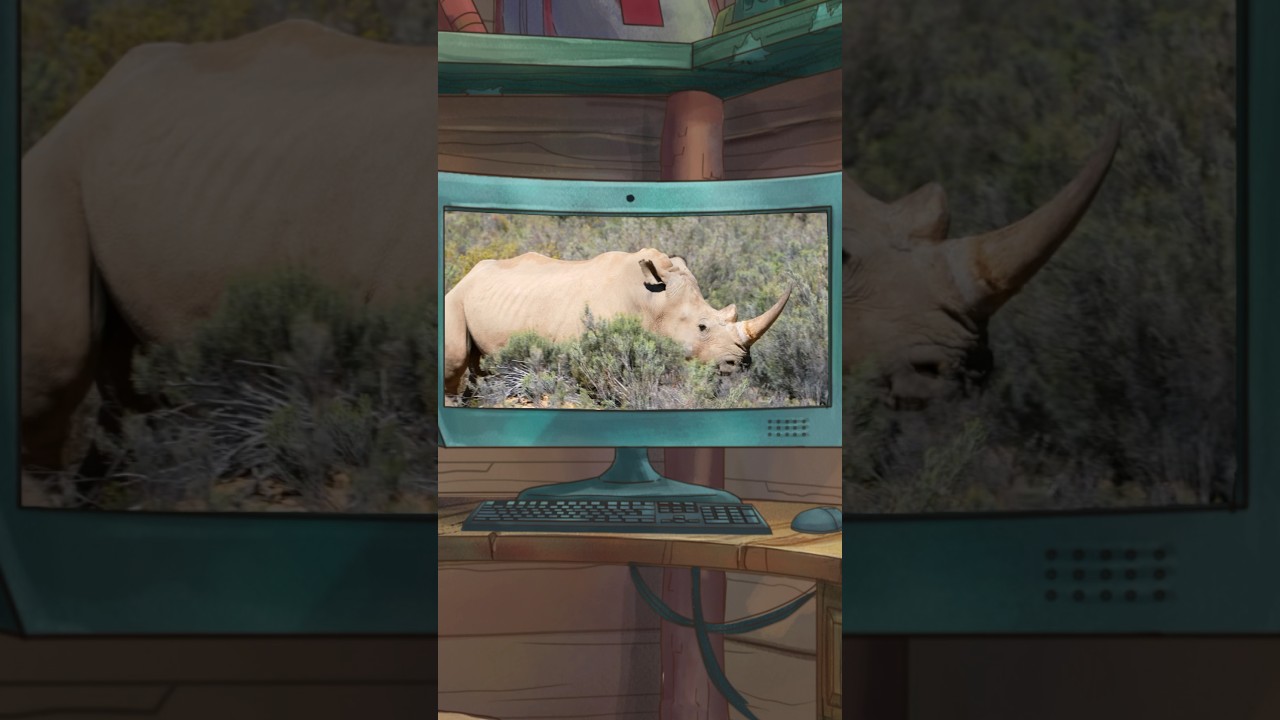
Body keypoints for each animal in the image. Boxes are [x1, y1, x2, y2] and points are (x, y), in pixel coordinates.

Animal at [443, 248, 791, 395]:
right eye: (702, 327)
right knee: (456, 360)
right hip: (454, 299)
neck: (652, 301)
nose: (740, 363)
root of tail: (468, 275)